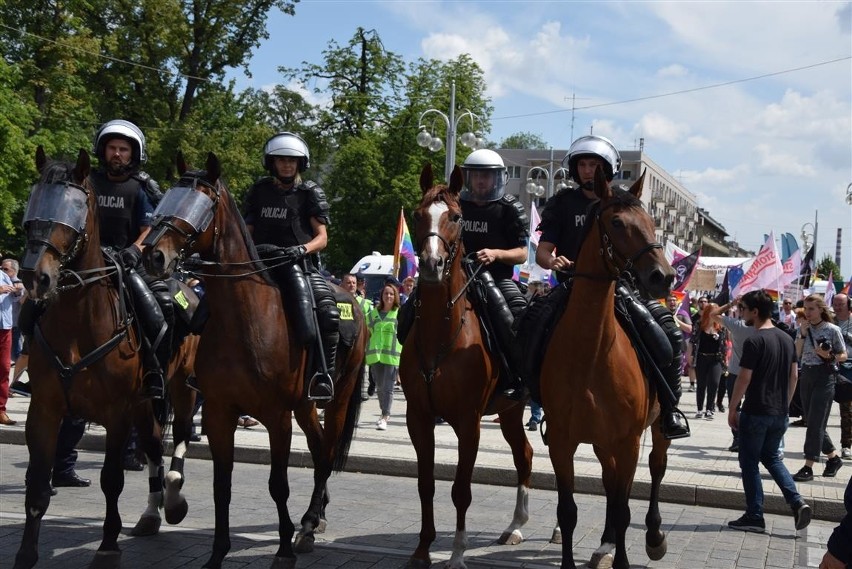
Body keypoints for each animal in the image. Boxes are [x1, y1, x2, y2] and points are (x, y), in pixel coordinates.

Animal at [13, 148, 200, 568]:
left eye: (75, 208)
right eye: (35, 203)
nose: (35, 276)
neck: (77, 323)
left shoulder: (117, 412)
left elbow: (111, 480)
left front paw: (108, 546)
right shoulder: (44, 410)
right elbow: (37, 482)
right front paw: (26, 553)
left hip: (182, 388)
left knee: (179, 436)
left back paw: (175, 501)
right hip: (147, 403)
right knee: (152, 445)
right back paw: (151, 513)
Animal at [142, 152, 366, 568]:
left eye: (201, 204)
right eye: (167, 198)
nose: (153, 255)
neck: (244, 319)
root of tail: (356, 305)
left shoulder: (277, 415)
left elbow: (278, 485)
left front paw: (282, 551)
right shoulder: (219, 412)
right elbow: (222, 485)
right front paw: (217, 552)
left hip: (338, 396)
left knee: (326, 454)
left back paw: (308, 525)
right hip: (304, 406)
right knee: (318, 450)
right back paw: (313, 519)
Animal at [400, 164, 532, 568]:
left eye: (456, 217)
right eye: (418, 214)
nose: (431, 264)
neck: (442, 333)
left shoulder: (468, 421)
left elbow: (461, 489)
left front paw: (457, 554)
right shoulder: (419, 417)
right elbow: (425, 483)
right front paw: (422, 549)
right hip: (510, 411)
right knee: (524, 455)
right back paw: (515, 526)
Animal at [544, 169, 676, 568]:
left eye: (651, 222)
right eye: (617, 222)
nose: (663, 276)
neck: (591, 352)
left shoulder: (628, 441)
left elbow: (622, 509)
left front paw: (625, 558)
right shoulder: (562, 441)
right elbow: (568, 511)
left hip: (653, 431)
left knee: (656, 467)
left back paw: (654, 536)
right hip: (602, 442)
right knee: (609, 479)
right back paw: (604, 543)